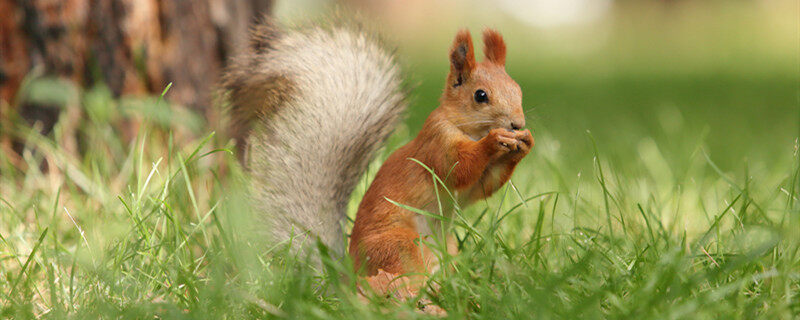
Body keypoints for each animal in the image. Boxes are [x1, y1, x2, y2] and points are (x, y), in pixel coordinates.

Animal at [222, 18, 532, 298]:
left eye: (518, 89)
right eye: (480, 96)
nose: (517, 123)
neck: (466, 128)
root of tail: (349, 277)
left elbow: (481, 187)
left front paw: (524, 144)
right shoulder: (437, 144)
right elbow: (460, 169)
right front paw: (493, 141)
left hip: (446, 247)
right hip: (401, 245)